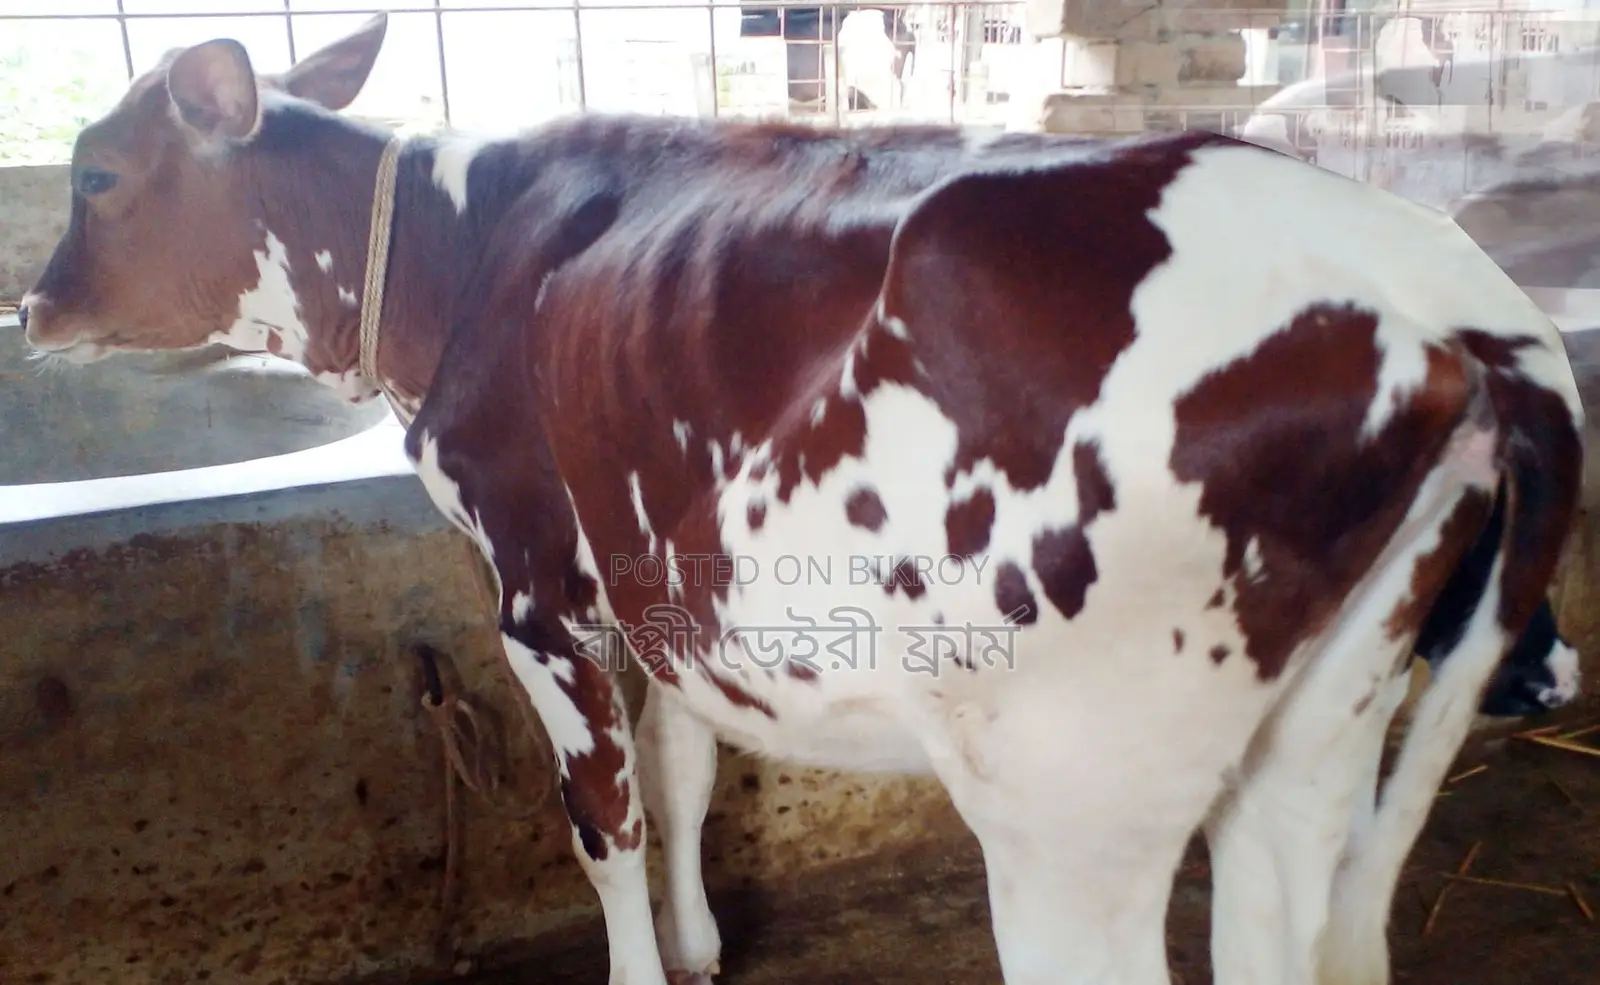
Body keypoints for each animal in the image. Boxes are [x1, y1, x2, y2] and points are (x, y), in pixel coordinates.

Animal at [14, 14, 1586, 985]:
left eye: (96, 173)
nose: (30, 305)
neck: (466, 253)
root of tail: (1438, 303)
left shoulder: (533, 583)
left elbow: (605, 816)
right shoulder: (660, 574)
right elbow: (688, 768)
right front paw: (703, 948)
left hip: (1070, 791)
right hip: (1318, 736)